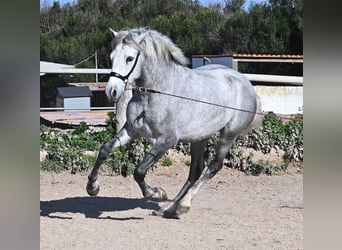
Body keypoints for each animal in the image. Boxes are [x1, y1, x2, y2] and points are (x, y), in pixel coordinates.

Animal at [87, 27, 260, 219]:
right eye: (111, 57)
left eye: (129, 58)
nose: (112, 91)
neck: (156, 92)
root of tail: (247, 84)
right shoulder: (132, 130)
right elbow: (105, 150)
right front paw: (92, 187)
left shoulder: (167, 140)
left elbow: (139, 171)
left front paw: (157, 194)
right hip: (200, 137)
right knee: (196, 170)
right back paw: (169, 208)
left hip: (229, 134)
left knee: (214, 166)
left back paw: (183, 204)